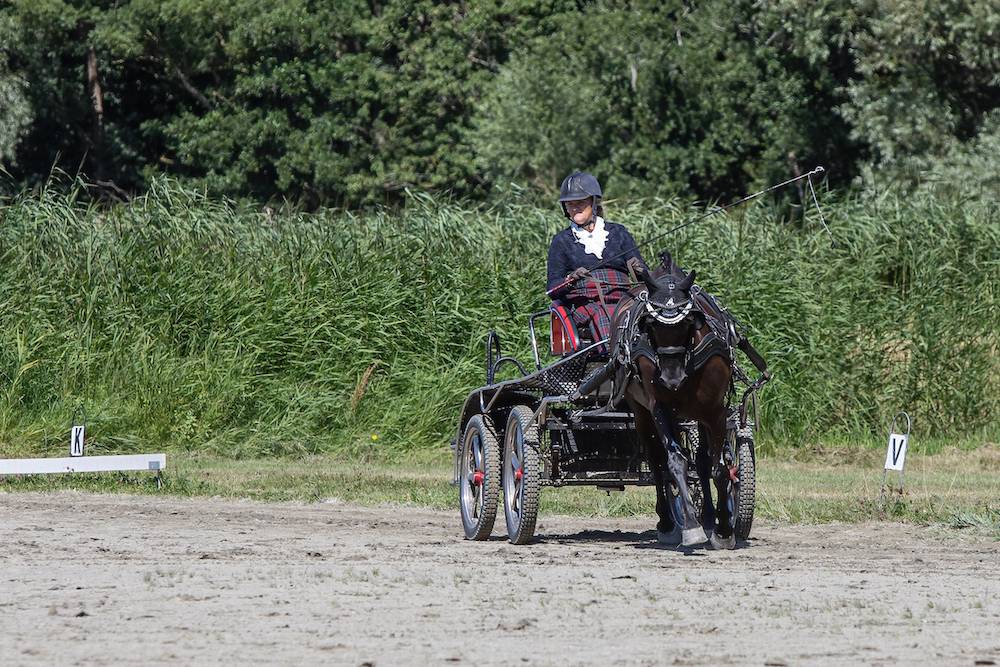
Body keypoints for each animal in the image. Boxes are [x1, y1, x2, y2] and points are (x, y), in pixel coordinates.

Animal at [609, 253, 738, 549]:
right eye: (650, 324)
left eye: (689, 322)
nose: (671, 378)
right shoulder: (660, 408)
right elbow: (675, 462)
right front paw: (691, 526)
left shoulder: (715, 411)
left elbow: (718, 468)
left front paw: (723, 529)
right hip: (641, 412)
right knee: (657, 461)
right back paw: (668, 522)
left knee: (701, 462)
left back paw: (709, 517)